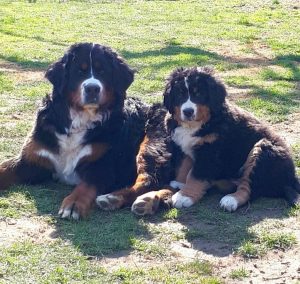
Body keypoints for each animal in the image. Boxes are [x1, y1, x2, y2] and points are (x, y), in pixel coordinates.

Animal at [162, 66, 300, 212]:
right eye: (180, 94)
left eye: (198, 94)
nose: (188, 112)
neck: (196, 124)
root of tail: (292, 177)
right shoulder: (183, 145)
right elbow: (184, 166)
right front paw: (180, 182)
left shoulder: (210, 152)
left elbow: (195, 175)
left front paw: (185, 196)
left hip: (263, 150)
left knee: (249, 187)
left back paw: (231, 200)